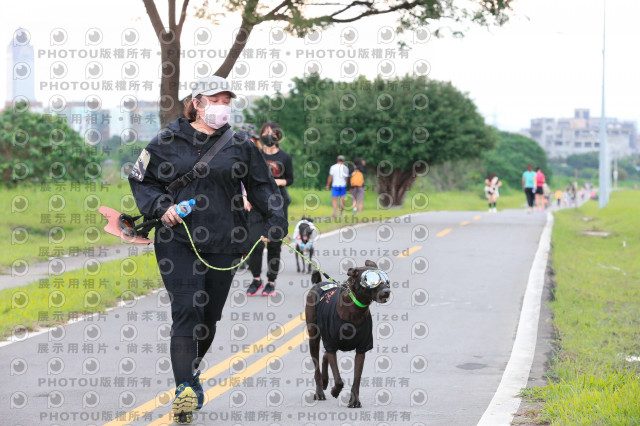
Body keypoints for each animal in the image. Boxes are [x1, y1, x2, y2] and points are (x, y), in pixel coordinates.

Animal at [304, 260, 390, 406]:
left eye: (386, 280)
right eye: (371, 280)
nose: (387, 291)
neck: (355, 310)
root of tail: (318, 284)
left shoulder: (362, 348)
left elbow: (357, 378)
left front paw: (354, 400)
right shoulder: (331, 344)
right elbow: (338, 379)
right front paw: (335, 391)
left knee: (325, 356)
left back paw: (325, 381)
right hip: (314, 338)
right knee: (317, 368)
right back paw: (320, 391)